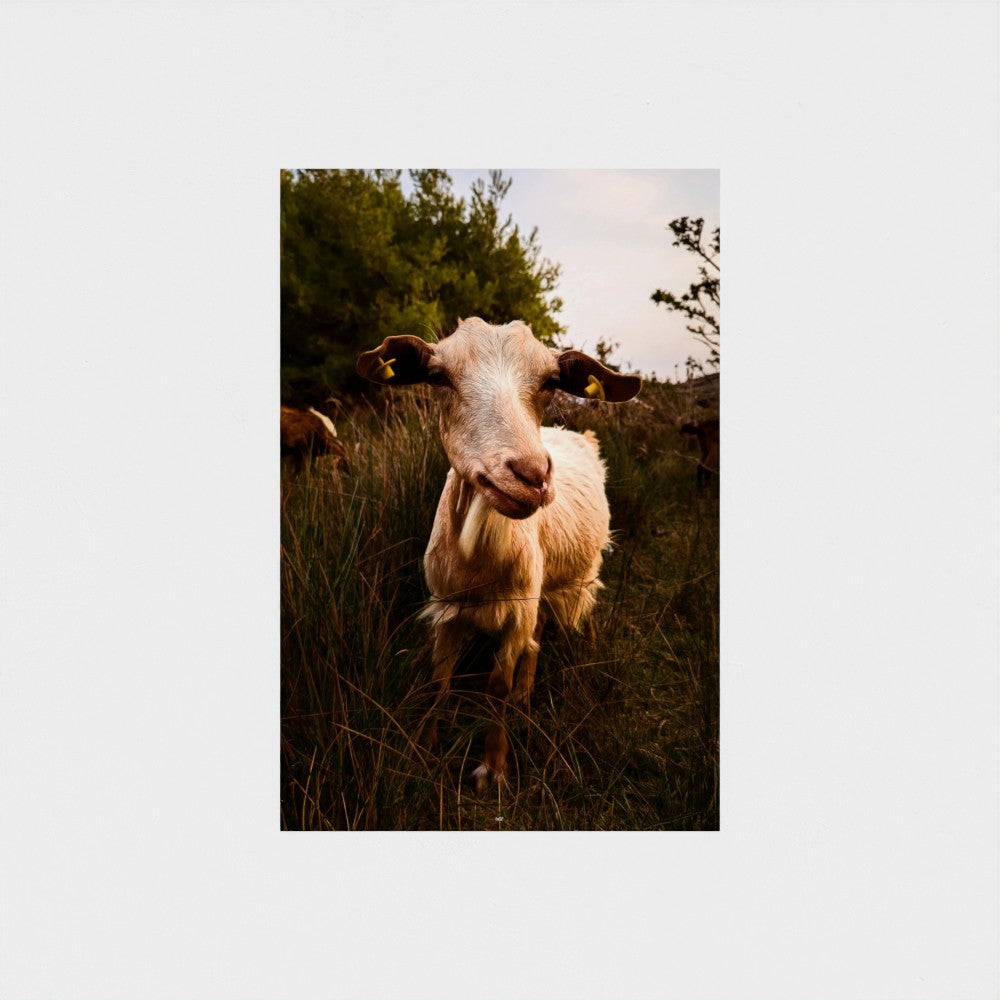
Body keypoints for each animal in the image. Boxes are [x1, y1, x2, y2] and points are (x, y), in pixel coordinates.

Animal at [358, 317, 640, 791]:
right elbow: (438, 682)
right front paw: (422, 751)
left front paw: (492, 768)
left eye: (549, 382)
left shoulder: (516, 610)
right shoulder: (447, 606)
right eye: (438, 376)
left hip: (571, 578)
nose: (531, 475)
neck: (479, 564)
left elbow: (497, 686)